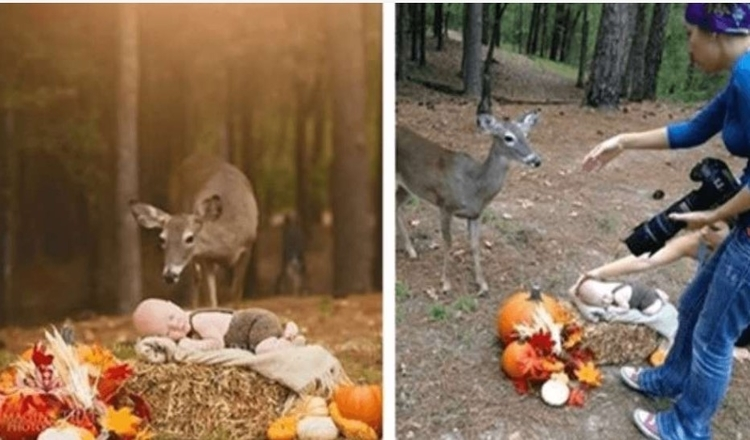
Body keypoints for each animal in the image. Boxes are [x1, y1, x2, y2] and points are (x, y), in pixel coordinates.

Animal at [129, 155, 258, 310]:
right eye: (162, 239)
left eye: (189, 238)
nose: (169, 275)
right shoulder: (205, 257)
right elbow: (212, 300)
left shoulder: (247, 247)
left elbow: (236, 295)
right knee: (196, 278)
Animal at [400, 75, 540, 296]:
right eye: (508, 137)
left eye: (527, 135)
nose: (536, 160)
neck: (474, 187)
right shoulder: (445, 204)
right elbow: (448, 242)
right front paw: (445, 283)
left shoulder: (475, 214)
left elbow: (475, 245)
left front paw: (482, 284)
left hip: (407, 187)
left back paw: (411, 250)